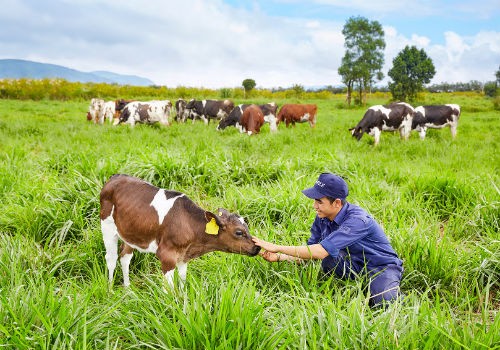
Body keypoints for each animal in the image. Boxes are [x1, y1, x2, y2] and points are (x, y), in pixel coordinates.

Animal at [99, 174, 260, 288]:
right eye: (239, 232)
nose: (257, 247)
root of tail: (116, 176)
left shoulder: (184, 256)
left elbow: (183, 283)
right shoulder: (166, 255)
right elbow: (169, 290)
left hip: (131, 231)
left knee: (125, 257)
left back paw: (127, 289)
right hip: (107, 226)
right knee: (111, 258)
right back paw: (110, 289)